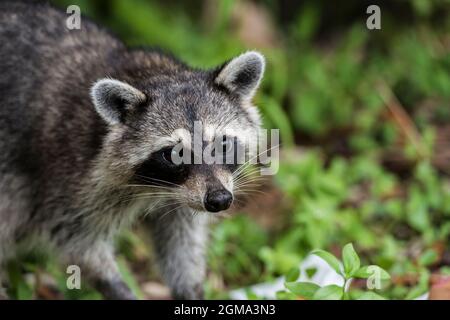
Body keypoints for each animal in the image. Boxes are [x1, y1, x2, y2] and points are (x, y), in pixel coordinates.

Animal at [0, 0, 264, 300]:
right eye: (173, 154)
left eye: (223, 144)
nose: (219, 200)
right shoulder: (64, 173)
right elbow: (77, 242)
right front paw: (115, 285)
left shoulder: (191, 194)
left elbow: (181, 238)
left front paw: (190, 287)